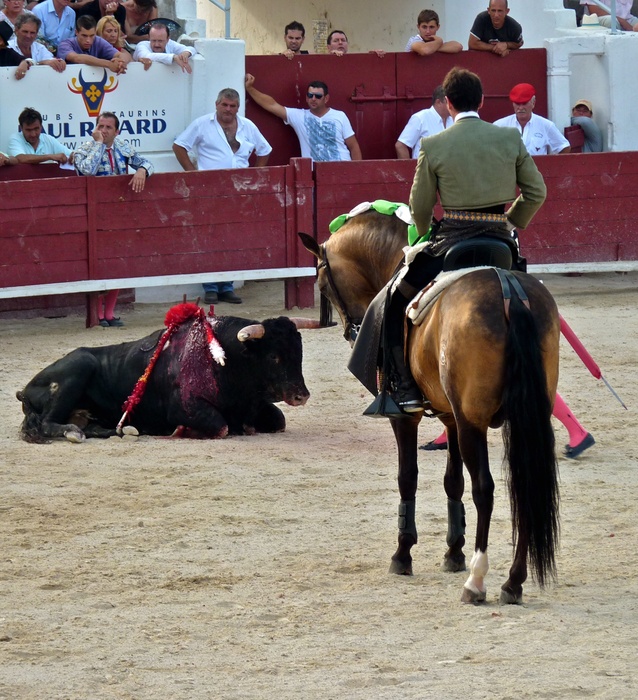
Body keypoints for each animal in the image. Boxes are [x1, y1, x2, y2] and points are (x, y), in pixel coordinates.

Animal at [16, 303, 319, 443]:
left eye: (300, 353)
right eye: (273, 356)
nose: (301, 395)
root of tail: (25, 390)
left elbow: (278, 419)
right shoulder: (186, 407)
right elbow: (220, 426)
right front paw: (181, 431)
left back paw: (123, 430)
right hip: (79, 366)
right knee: (48, 423)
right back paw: (73, 432)